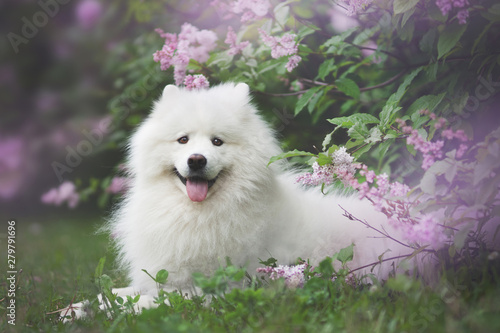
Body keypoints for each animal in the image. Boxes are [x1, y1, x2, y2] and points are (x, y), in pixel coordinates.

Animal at [64, 81, 412, 318]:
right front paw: (78, 308)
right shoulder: (165, 274)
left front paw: (116, 309)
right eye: (183, 140)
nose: (196, 160)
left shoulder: (215, 288)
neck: (198, 214)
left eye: (217, 142)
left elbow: (153, 300)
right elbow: (118, 293)